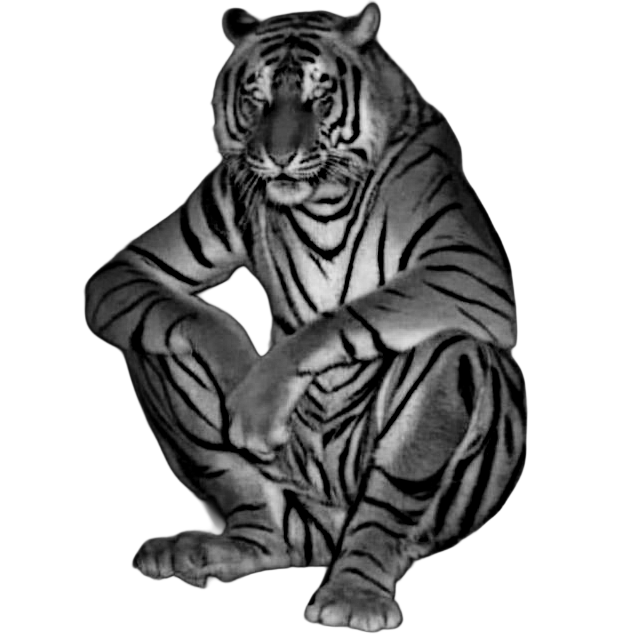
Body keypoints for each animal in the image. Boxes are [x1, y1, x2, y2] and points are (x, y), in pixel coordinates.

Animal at [84, 4, 526, 631]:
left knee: (424, 405)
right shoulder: (147, 257)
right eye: (257, 97)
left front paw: (256, 395)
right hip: (256, 469)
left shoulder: (468, 268)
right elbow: (187, 308)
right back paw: (212, 549)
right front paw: (240, 383)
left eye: (319, 97)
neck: (320, 201)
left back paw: (355, 594)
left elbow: (349, 316)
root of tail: (323, 532)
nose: (279, 155)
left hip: (432, 417)